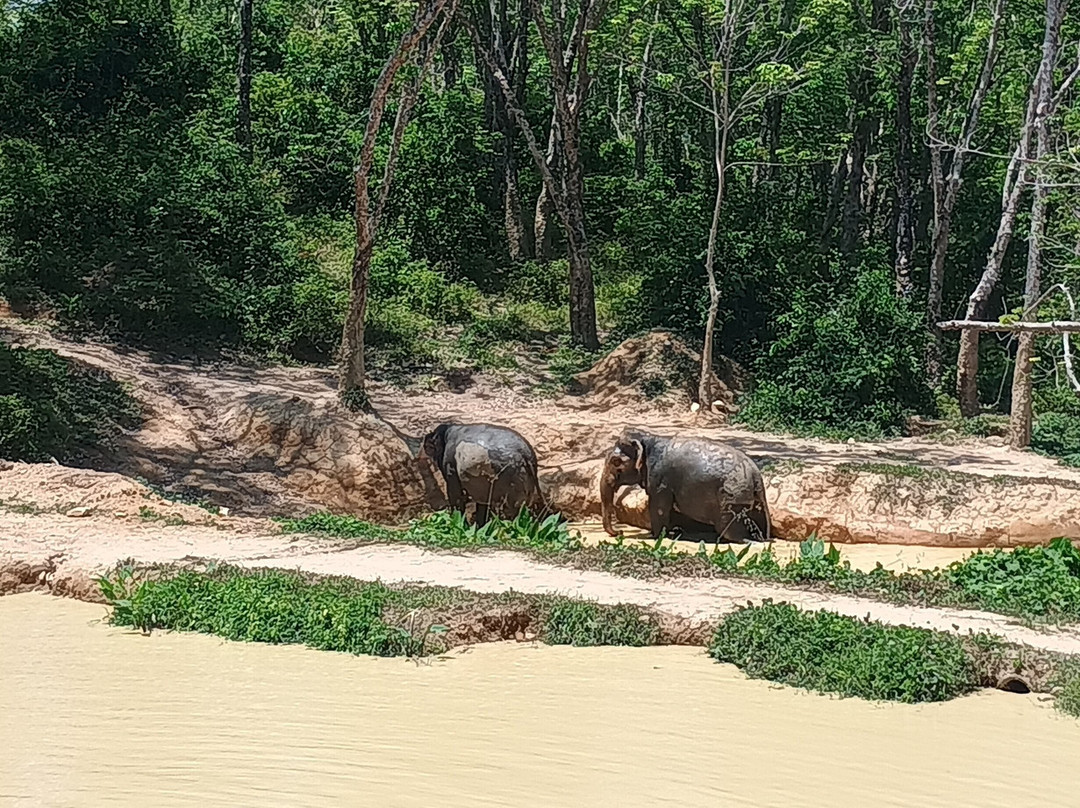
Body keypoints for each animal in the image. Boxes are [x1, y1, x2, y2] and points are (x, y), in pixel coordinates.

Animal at [600, 429, 771, 543]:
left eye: (616, 461)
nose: (620, 532)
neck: (647, 439)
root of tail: (756, 474)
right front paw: (674, 532)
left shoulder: (659, 478)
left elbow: (658, 506)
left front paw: (655, 536)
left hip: (732, 494)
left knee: (727, 525)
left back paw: (743, 541)